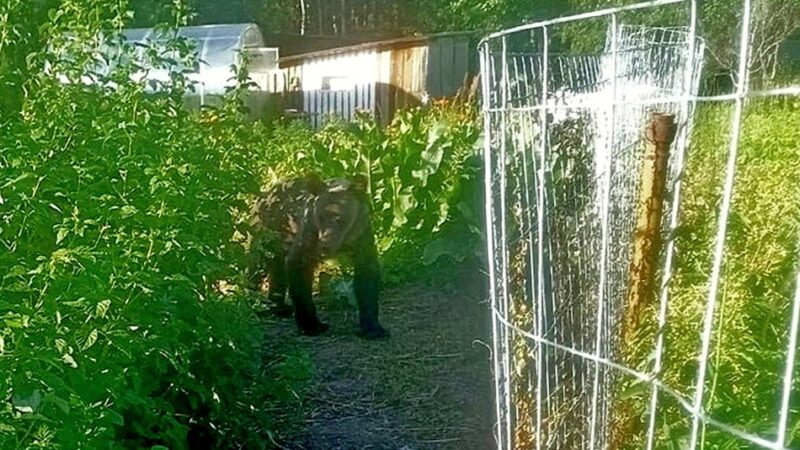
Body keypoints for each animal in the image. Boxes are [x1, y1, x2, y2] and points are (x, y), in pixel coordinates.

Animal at [248, 174, 390, 340]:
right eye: (320, 217)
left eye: (339, 218)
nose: (324, 246)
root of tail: (265, 193)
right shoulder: (308, 237)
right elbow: (300, 277)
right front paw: (311, 325)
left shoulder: (361, 236)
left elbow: (367, 280)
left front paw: (373, 328)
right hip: (265, 235)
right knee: (255, 267)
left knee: (278, 270)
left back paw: (279, 307)